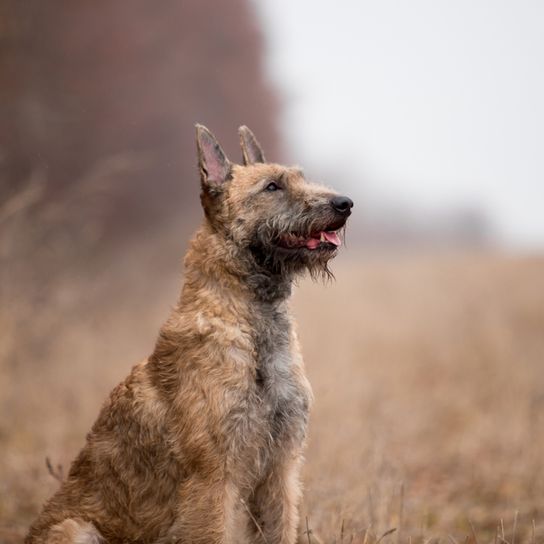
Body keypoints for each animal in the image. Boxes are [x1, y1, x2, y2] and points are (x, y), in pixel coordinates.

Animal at [26, 125, 352, 540]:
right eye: (272, 186)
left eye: (300, 177)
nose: (345, 203)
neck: (251, 322)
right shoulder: (214, 478)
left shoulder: (279, 469)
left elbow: (280, 528)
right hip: (76, 529)